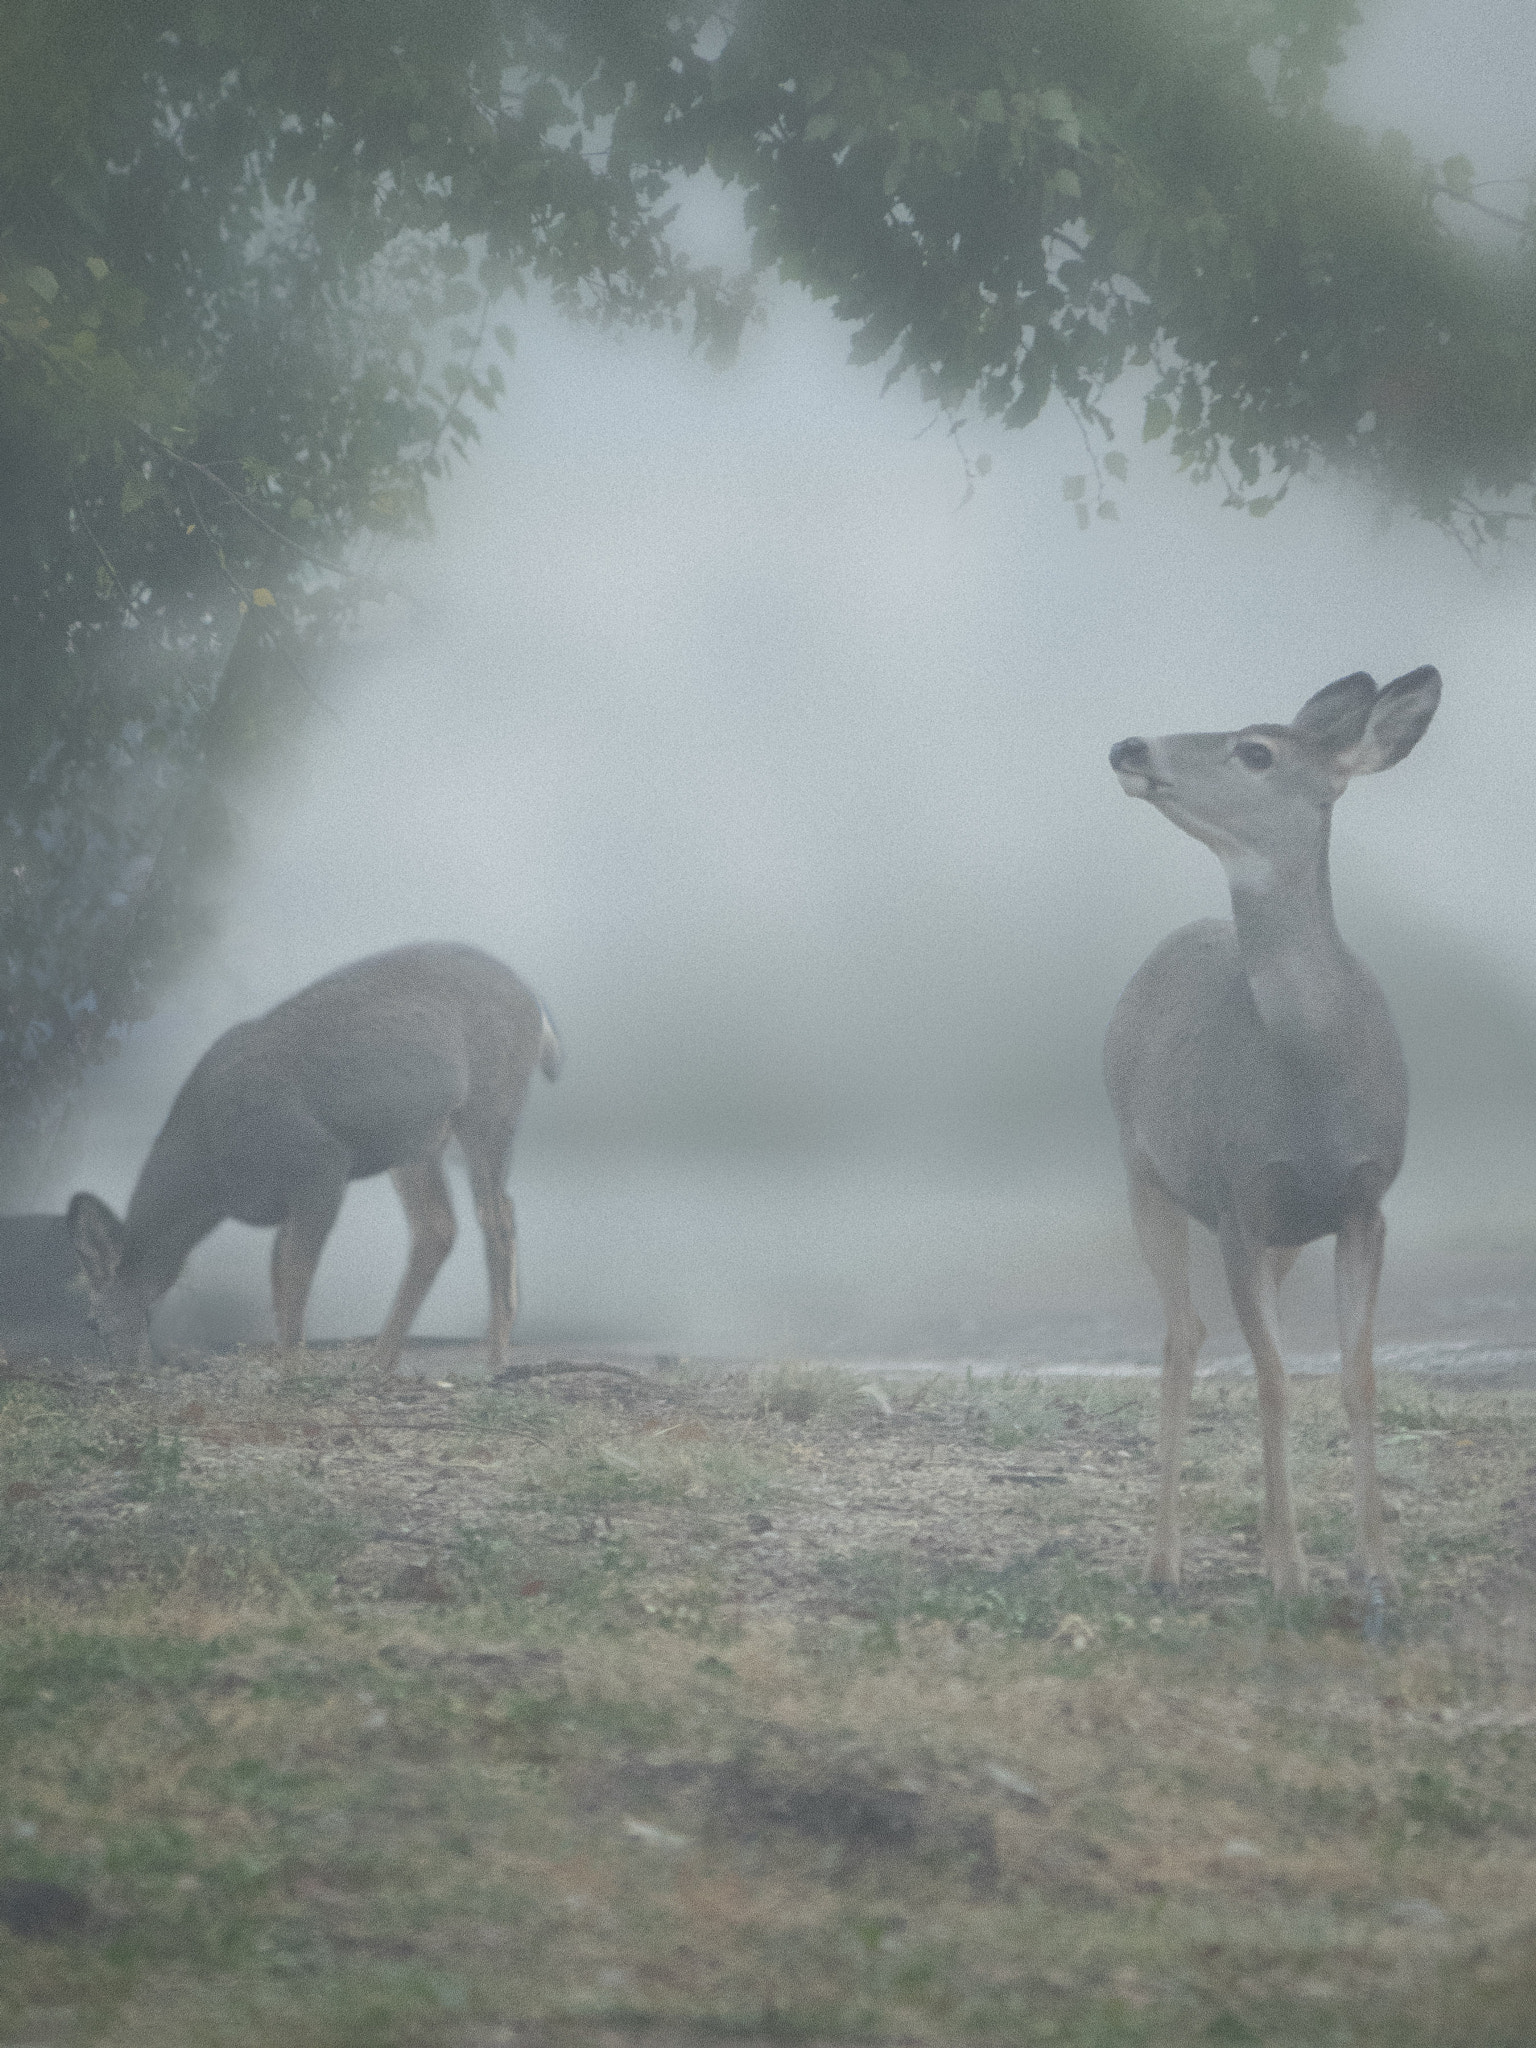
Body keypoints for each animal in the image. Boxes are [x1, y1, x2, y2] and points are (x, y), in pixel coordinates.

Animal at [67, 942, 562, 1375]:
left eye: (92, 1320)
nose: (125, 1368)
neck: (212, 1178)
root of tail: (538, 1008)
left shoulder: (321, 1163)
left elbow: (293, 1272)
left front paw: (292, 1367)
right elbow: (278, 1272)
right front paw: (286, 1361)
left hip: (488, 1105)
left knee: (495, 1214)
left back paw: (495, 1358)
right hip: (416, 1139)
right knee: (439, 1227)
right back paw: (379, 1363)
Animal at [1103, 666, 1441, 1605]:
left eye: (1255, 752)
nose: (1128, 746)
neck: (1309, 1074)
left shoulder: (1364, 1201)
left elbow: (1357, 1377)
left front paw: (1375, 1566)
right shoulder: (1238, 1204)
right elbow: (1276, 1380)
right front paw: (1290, 1573)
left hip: (1280, 1230)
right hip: (1142, 1165)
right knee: (1184, 1336)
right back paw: (1162, 1560)